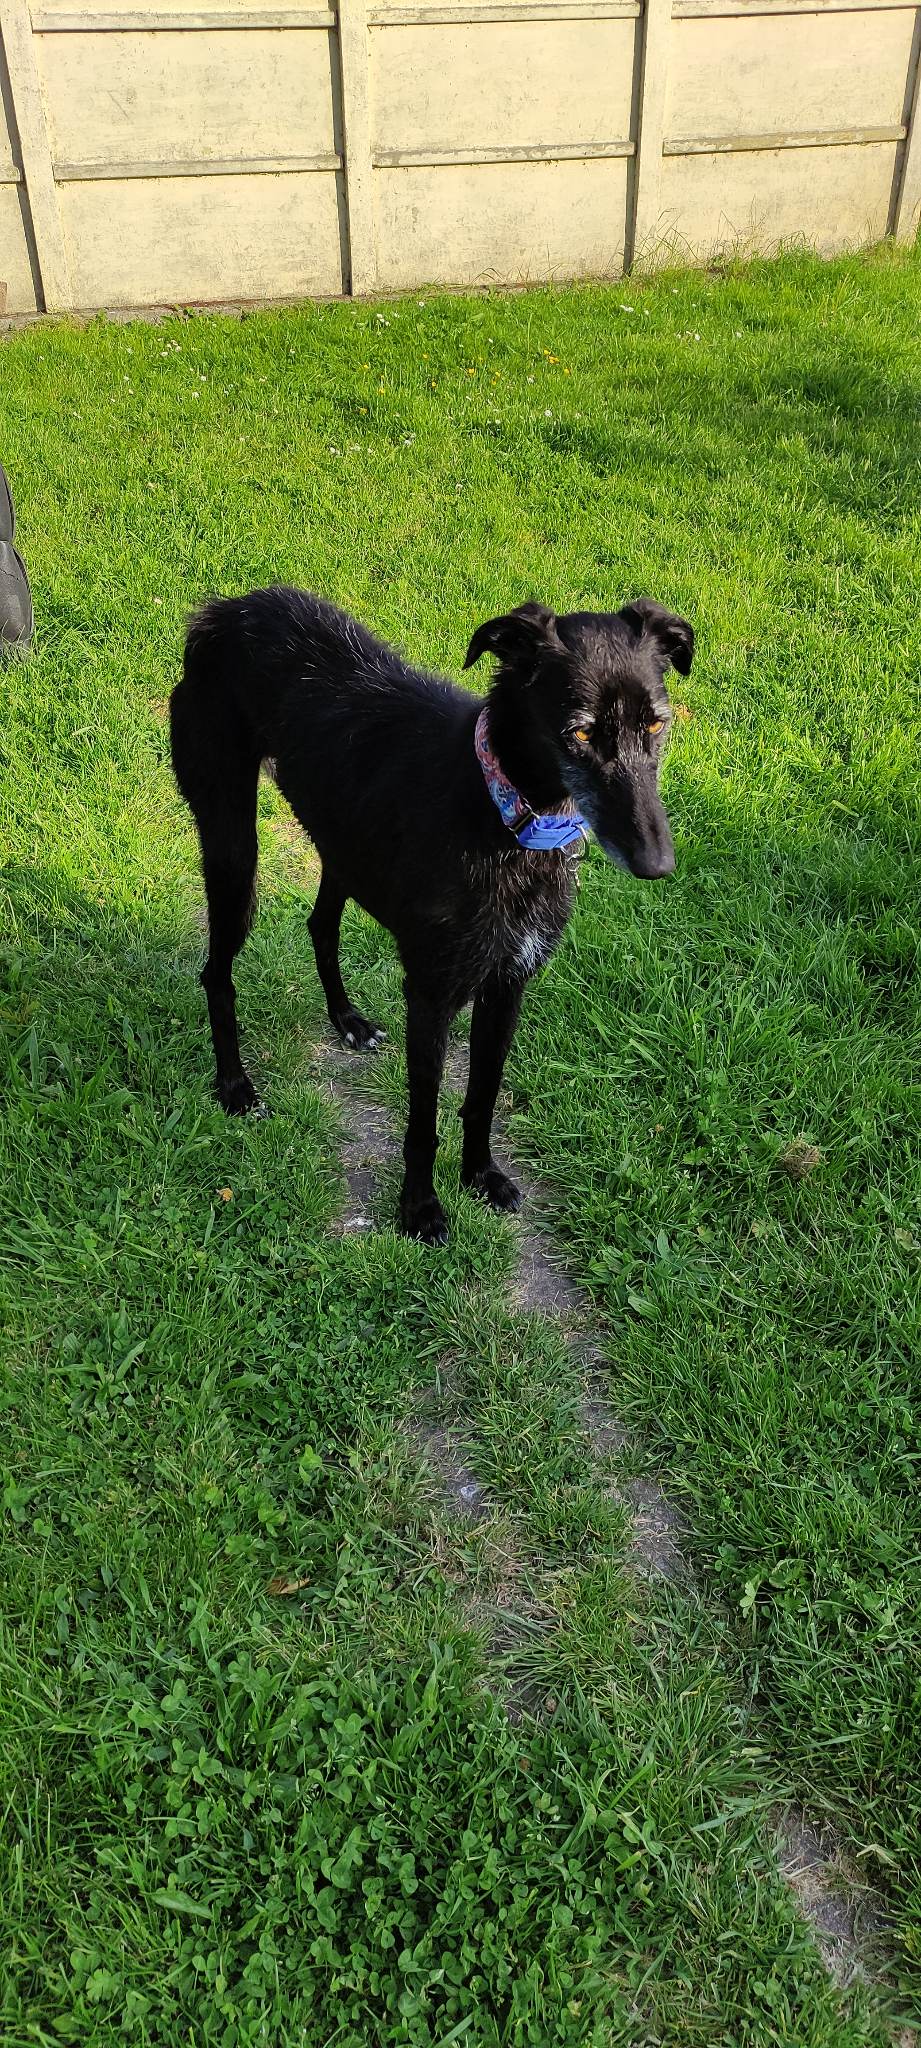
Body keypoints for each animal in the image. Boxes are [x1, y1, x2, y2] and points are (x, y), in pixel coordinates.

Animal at [169, 590, 692, 1244]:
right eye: (580, 731)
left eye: (656, 723)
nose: (658, 864)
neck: (506, 815)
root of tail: (222, 611)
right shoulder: (432, 994)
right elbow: (422, 1119)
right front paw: (419, 1208)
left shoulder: (508, 984)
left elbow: (483, 1095)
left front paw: (481, 1176)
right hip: (233, 845)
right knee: (217, 973)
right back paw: (235, 1086)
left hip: (344, 842)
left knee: (320, 925)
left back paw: (347, 1021)